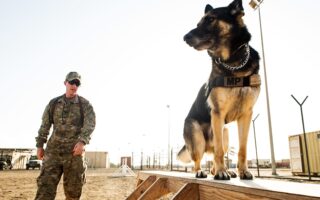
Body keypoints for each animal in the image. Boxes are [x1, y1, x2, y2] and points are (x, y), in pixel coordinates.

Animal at [176, 0, 262, 180]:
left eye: (211, 19)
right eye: (198, 23)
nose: (185, 37)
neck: (234, 63)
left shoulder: (246, 115)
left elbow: (242, 149)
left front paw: (243, 171)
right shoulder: (217, 112)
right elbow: (220, 151)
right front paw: (222, 172)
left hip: (225, 132)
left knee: (216, 152)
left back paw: (223, 170)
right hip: (197, 135)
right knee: (200, 159)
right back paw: (203, 171)